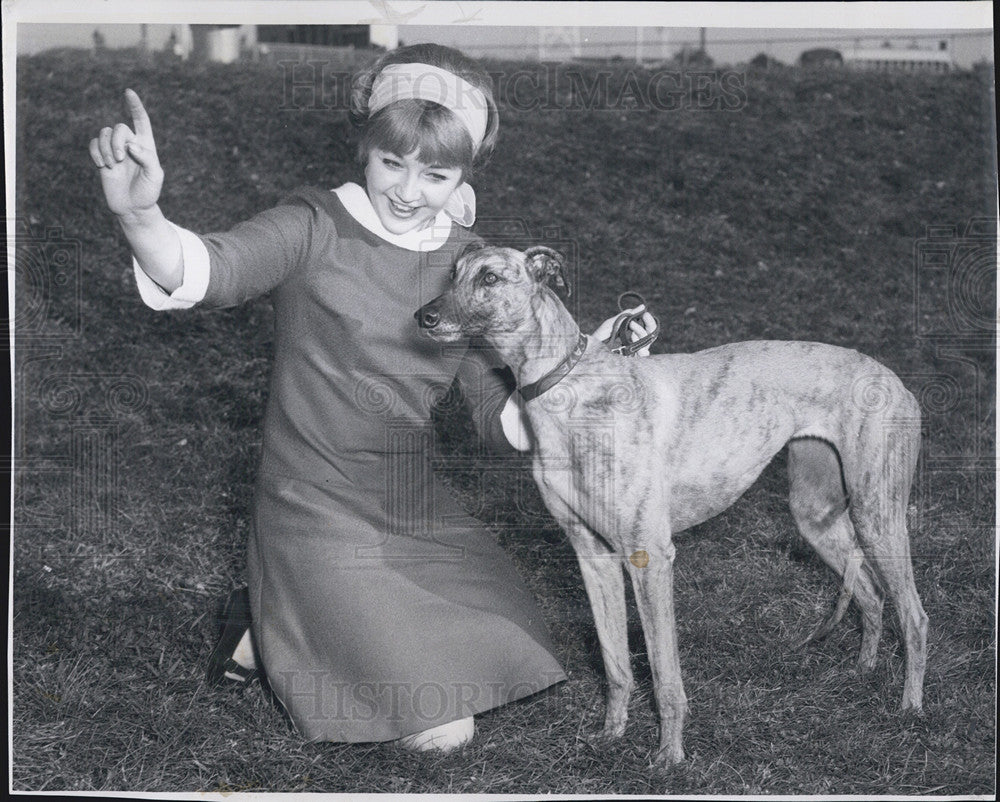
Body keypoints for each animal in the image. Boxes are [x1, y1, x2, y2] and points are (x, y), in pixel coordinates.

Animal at [414, 242, 928, 764]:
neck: (568, 387)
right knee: (872, 594)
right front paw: (611, 734)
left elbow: (664, 673)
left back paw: (910, 708)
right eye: (452, 273)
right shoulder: (591, 555)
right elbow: (616, 664)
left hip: (877, 514)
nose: (424, 317)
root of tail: (892, 377)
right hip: (816, 515)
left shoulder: (649, 557)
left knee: (914, 616)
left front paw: (669, 756)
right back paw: (863, 671)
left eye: (491, 278)